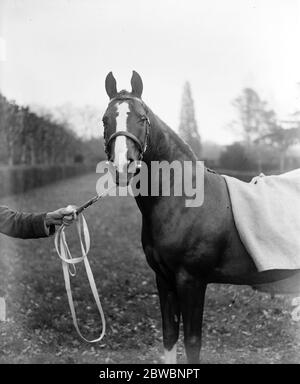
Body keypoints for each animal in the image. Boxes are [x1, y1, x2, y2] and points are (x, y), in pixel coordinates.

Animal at [102, 71, 298, 364]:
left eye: (142, 117)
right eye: (105, 119)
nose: (123, 166)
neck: (183, 200)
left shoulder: (191, 281)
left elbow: (192, 342)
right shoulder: (164, 279)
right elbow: (169, 336)